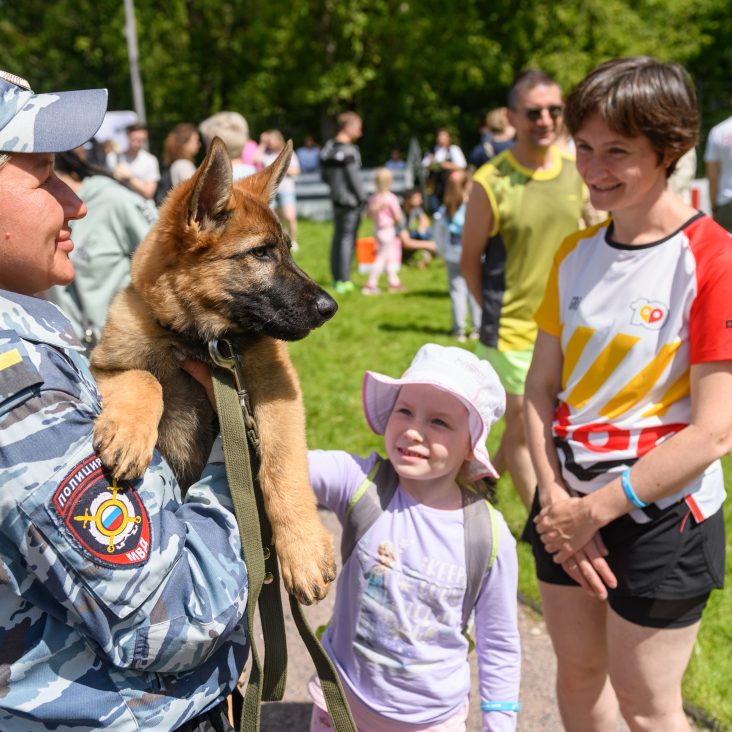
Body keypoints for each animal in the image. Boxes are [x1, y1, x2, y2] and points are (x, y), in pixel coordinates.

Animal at [89, 139, 338, 608]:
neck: (201, 342)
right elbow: (146, 377)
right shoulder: (102, 366)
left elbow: (282, 464)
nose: (330, 307)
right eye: (260, 252)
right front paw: (129, 434)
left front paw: (303, 550)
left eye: (288, 249)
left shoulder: (277, 391)